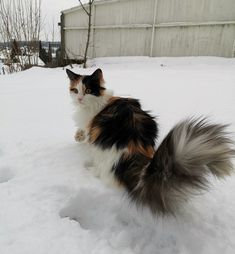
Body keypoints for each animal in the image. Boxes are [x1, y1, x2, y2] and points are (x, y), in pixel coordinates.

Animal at [66, 67, 235, 214]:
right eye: (75, 90)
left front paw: (78, 136)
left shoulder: (89, 125)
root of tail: (131, 152)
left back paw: (89, 169)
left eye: (87, 91)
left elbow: (83, 131)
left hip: (101, 154)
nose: (79, 99)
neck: (99, 100)